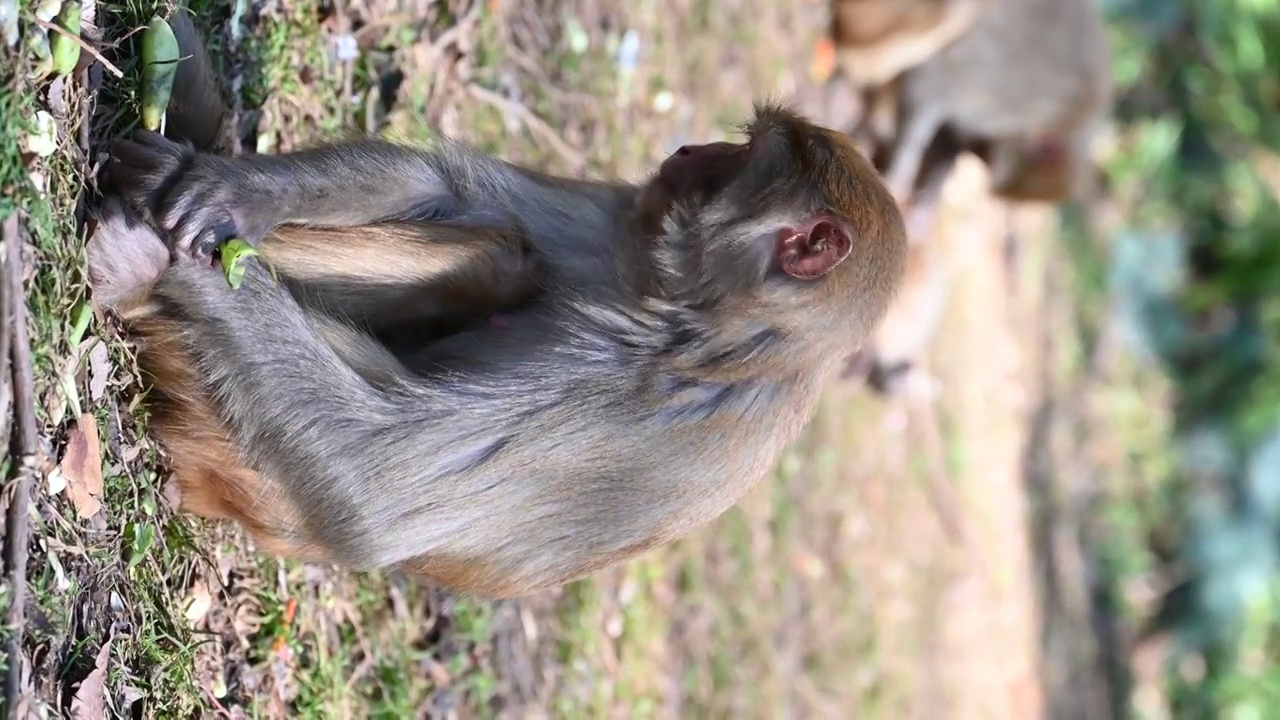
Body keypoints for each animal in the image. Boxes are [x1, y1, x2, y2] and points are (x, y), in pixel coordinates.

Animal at [90, 14, 906, 597]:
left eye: (735, 157)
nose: (688, 154)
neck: (715, 328)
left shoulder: (653, 402)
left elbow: (375, 480)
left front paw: (181, 260)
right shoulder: (628, 233)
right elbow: (447, 188)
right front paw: (240, 192)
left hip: (230, 451)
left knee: (499, 260)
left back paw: (140, 269)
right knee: (503, 247)